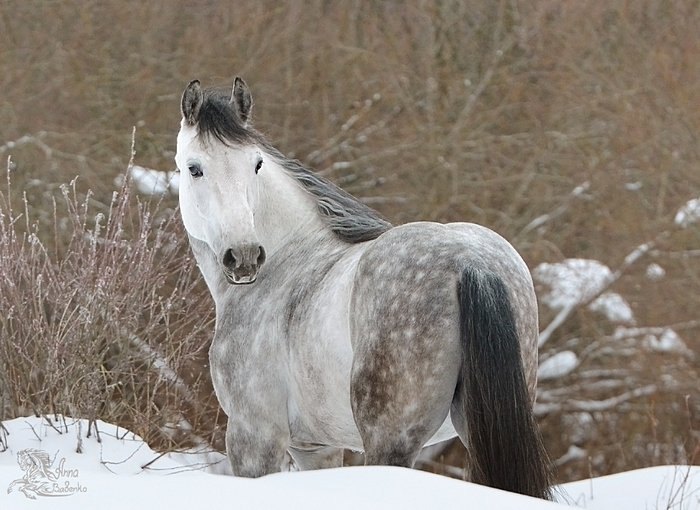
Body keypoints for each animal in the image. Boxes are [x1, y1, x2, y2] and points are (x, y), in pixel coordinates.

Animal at [175, 77, 552, 496]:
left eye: (255, 164)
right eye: (195, 169)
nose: (243, 257)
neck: (286, 263)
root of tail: (470, 261)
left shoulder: (255, 437)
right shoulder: (316, 448)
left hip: (390, 440)